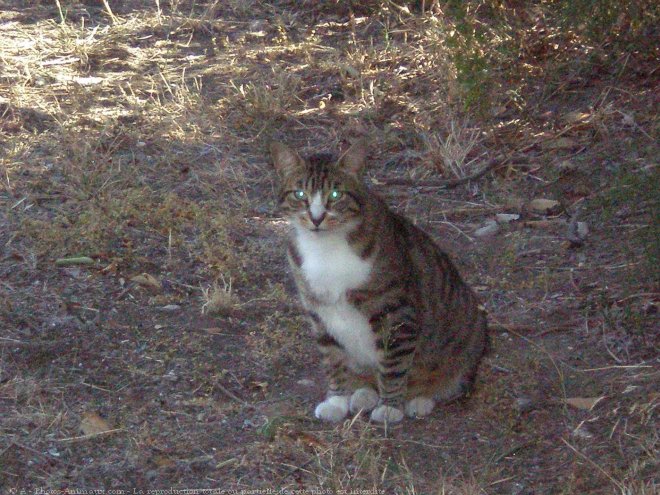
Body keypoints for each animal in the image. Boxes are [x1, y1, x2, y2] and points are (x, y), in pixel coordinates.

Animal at [270, 140, 490, 426]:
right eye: (299, 194)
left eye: (335, 195)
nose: (316, 218)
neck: (326, 247)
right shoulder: (319, 312)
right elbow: (333, 360)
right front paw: (336, 400)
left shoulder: (395, 311)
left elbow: (394, 365)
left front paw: (390, 406)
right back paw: (364, 393)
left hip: (471, 328)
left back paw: (420, 399)